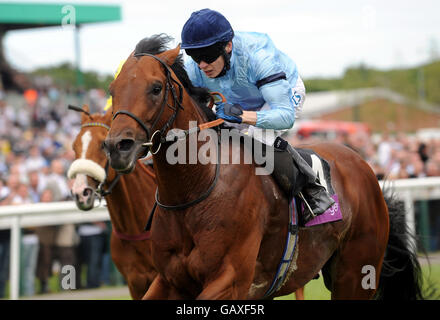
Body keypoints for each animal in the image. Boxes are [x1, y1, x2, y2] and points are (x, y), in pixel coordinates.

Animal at [102, 38, 422, 298]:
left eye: (155, 88)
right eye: (113, 90)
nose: (118, 147)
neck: (193, 188)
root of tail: (364, 167)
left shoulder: (230, 280)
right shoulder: (169, 280)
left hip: (356, 273)